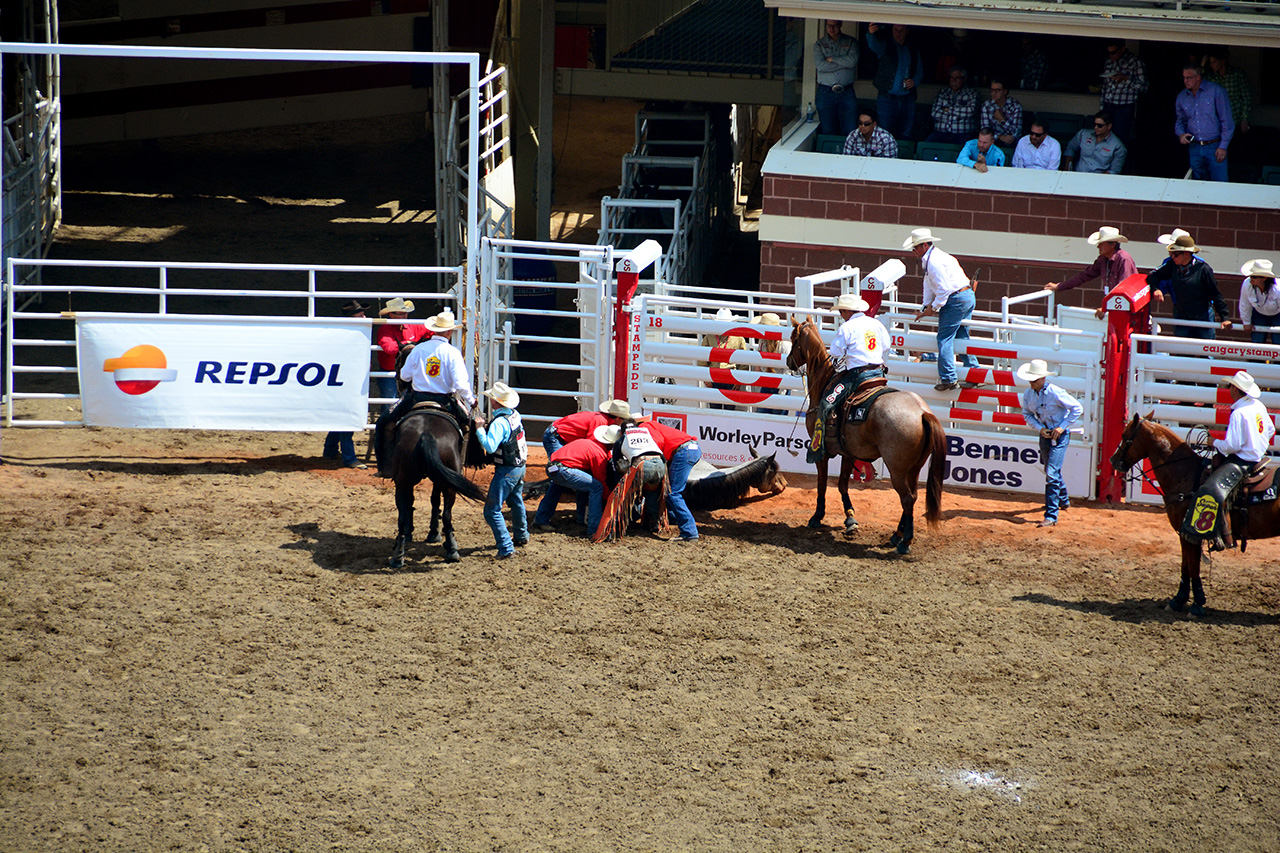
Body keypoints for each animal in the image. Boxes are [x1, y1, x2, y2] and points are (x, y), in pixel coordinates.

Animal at [783, 313, 947, 550]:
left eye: (793, 338)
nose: (789, 361)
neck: (824, 382)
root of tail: (922, 412)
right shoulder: (848, 453)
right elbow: (842, 484)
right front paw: (850, 519)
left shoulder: (821, 453)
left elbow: (822, 485)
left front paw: (817, 517)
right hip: (915, 467)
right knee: (914, 496)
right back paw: (897, 534)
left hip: (897, 469)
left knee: (907, 498)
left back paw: (905, 541)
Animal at [1111, 409, 1280, 612]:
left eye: (1125, 436)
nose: (1113, 461)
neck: (1185, 474)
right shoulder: (1185, 533)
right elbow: (1187, 564)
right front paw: (1181, 599)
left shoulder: (1189, 533)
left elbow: (1192, 566)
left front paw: (1194, 601)